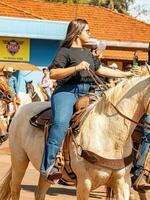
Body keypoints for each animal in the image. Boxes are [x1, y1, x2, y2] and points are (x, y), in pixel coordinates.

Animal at [0, 75, 149, 200]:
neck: (110, 135)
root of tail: (21, 109)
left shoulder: (122, 183)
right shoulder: (84, 183)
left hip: (45, 172)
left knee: (39, 192)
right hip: (19, 159)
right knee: (15, 188)